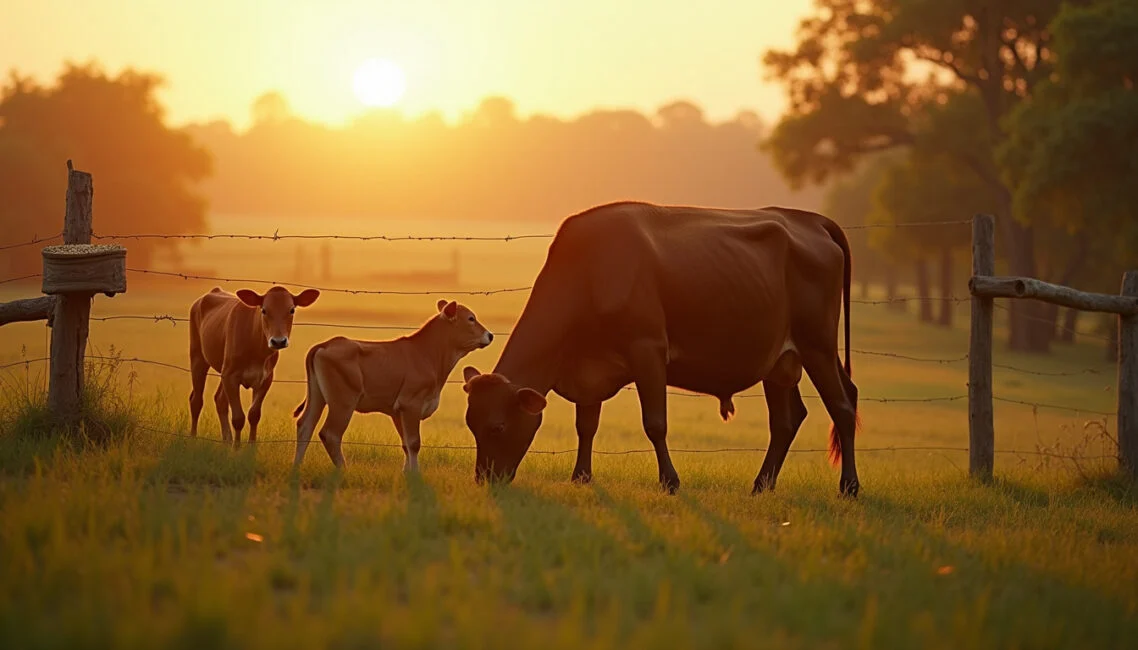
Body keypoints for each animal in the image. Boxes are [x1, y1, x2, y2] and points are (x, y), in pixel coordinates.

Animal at [189, 286, 321, 447]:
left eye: (291, 310)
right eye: (264, 310)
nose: (278, 341)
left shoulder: (265, 378)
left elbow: (254, 414)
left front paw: (250, 447)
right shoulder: (231, 376)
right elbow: (238, 418)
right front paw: (236, 448)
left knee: (220, 400)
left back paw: (227, 441)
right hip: (198, 357)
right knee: (196, 401)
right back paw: (193, 438)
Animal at [291, 299, 494, 472]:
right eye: (471, 318)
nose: (490, 335)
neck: (427, 354)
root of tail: (326, 344)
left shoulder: (398, 411)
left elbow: (405, 444)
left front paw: (407, 472)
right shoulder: (410, 404)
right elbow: (414, 443)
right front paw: (415, 474)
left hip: (318, 396)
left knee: (305, 425)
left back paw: (297, 466)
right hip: (343, 403)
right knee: (330, 434)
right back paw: (343, 469)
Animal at [460, 201, 861, 497]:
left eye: (497, 427)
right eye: (471, 424)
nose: (485, 479)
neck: (590, 271)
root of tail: (810, 219)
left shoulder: (648, 349)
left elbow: (655, 423)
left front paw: (670, 481)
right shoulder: (588, 366)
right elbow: (586, 425)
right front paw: (581, 477)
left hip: (818, 346)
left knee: (841, 406)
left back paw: (849, 487)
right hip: (780, 361)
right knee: (787, 419)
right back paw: (761, 486)